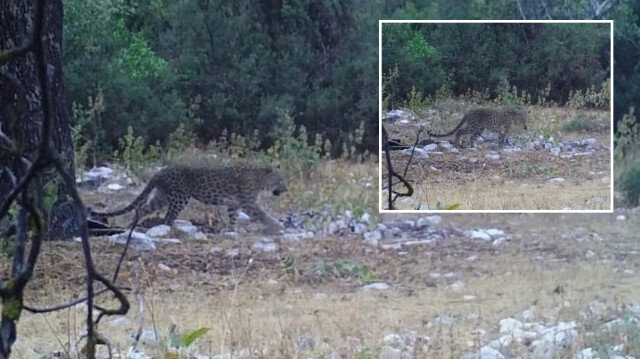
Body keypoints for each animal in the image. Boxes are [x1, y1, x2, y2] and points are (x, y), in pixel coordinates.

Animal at [90, 165, 288, 235]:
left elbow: (233, 217)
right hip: (180, 197)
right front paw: (276, 226)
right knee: (168, 217)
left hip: (162, 196)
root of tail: (160, 171)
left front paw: (232, 230)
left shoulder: (235, 204)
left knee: (143, 208)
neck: (260, 180)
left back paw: (134, 224)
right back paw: (170, 228)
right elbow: (261, 214)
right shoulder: (248, 202)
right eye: (280, 180)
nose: (286, 189)